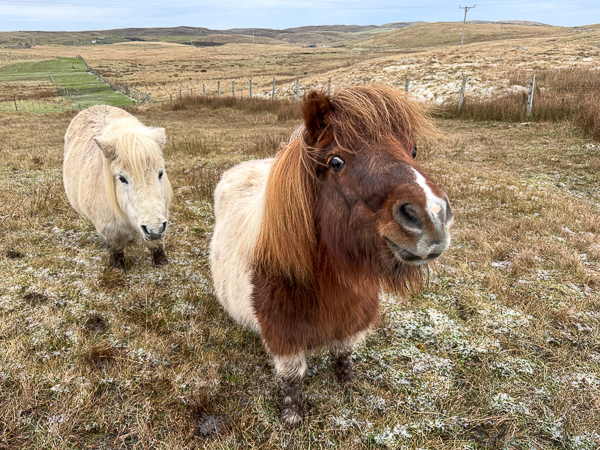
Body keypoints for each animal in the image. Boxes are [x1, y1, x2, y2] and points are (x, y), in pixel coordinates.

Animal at [209, 86, 452, 428]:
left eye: (414, 151)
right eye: (335, 161)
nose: (432, 217)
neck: (329, 286)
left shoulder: (351, 323)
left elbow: (343, 355)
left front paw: (348, 385)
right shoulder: (284, 339)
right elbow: (292, 377)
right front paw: (292, 415)